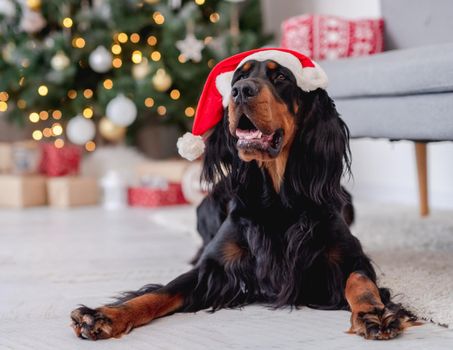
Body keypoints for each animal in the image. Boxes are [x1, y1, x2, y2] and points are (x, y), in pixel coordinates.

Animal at [71, 47, 420, 340]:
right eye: (239, 77)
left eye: (281, 77)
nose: (241, 91)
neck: (278, 198)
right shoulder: (214, 267)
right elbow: (160, 291)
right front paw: (105, 315)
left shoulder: (348, 255)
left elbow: (359, 281)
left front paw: (374, 313)